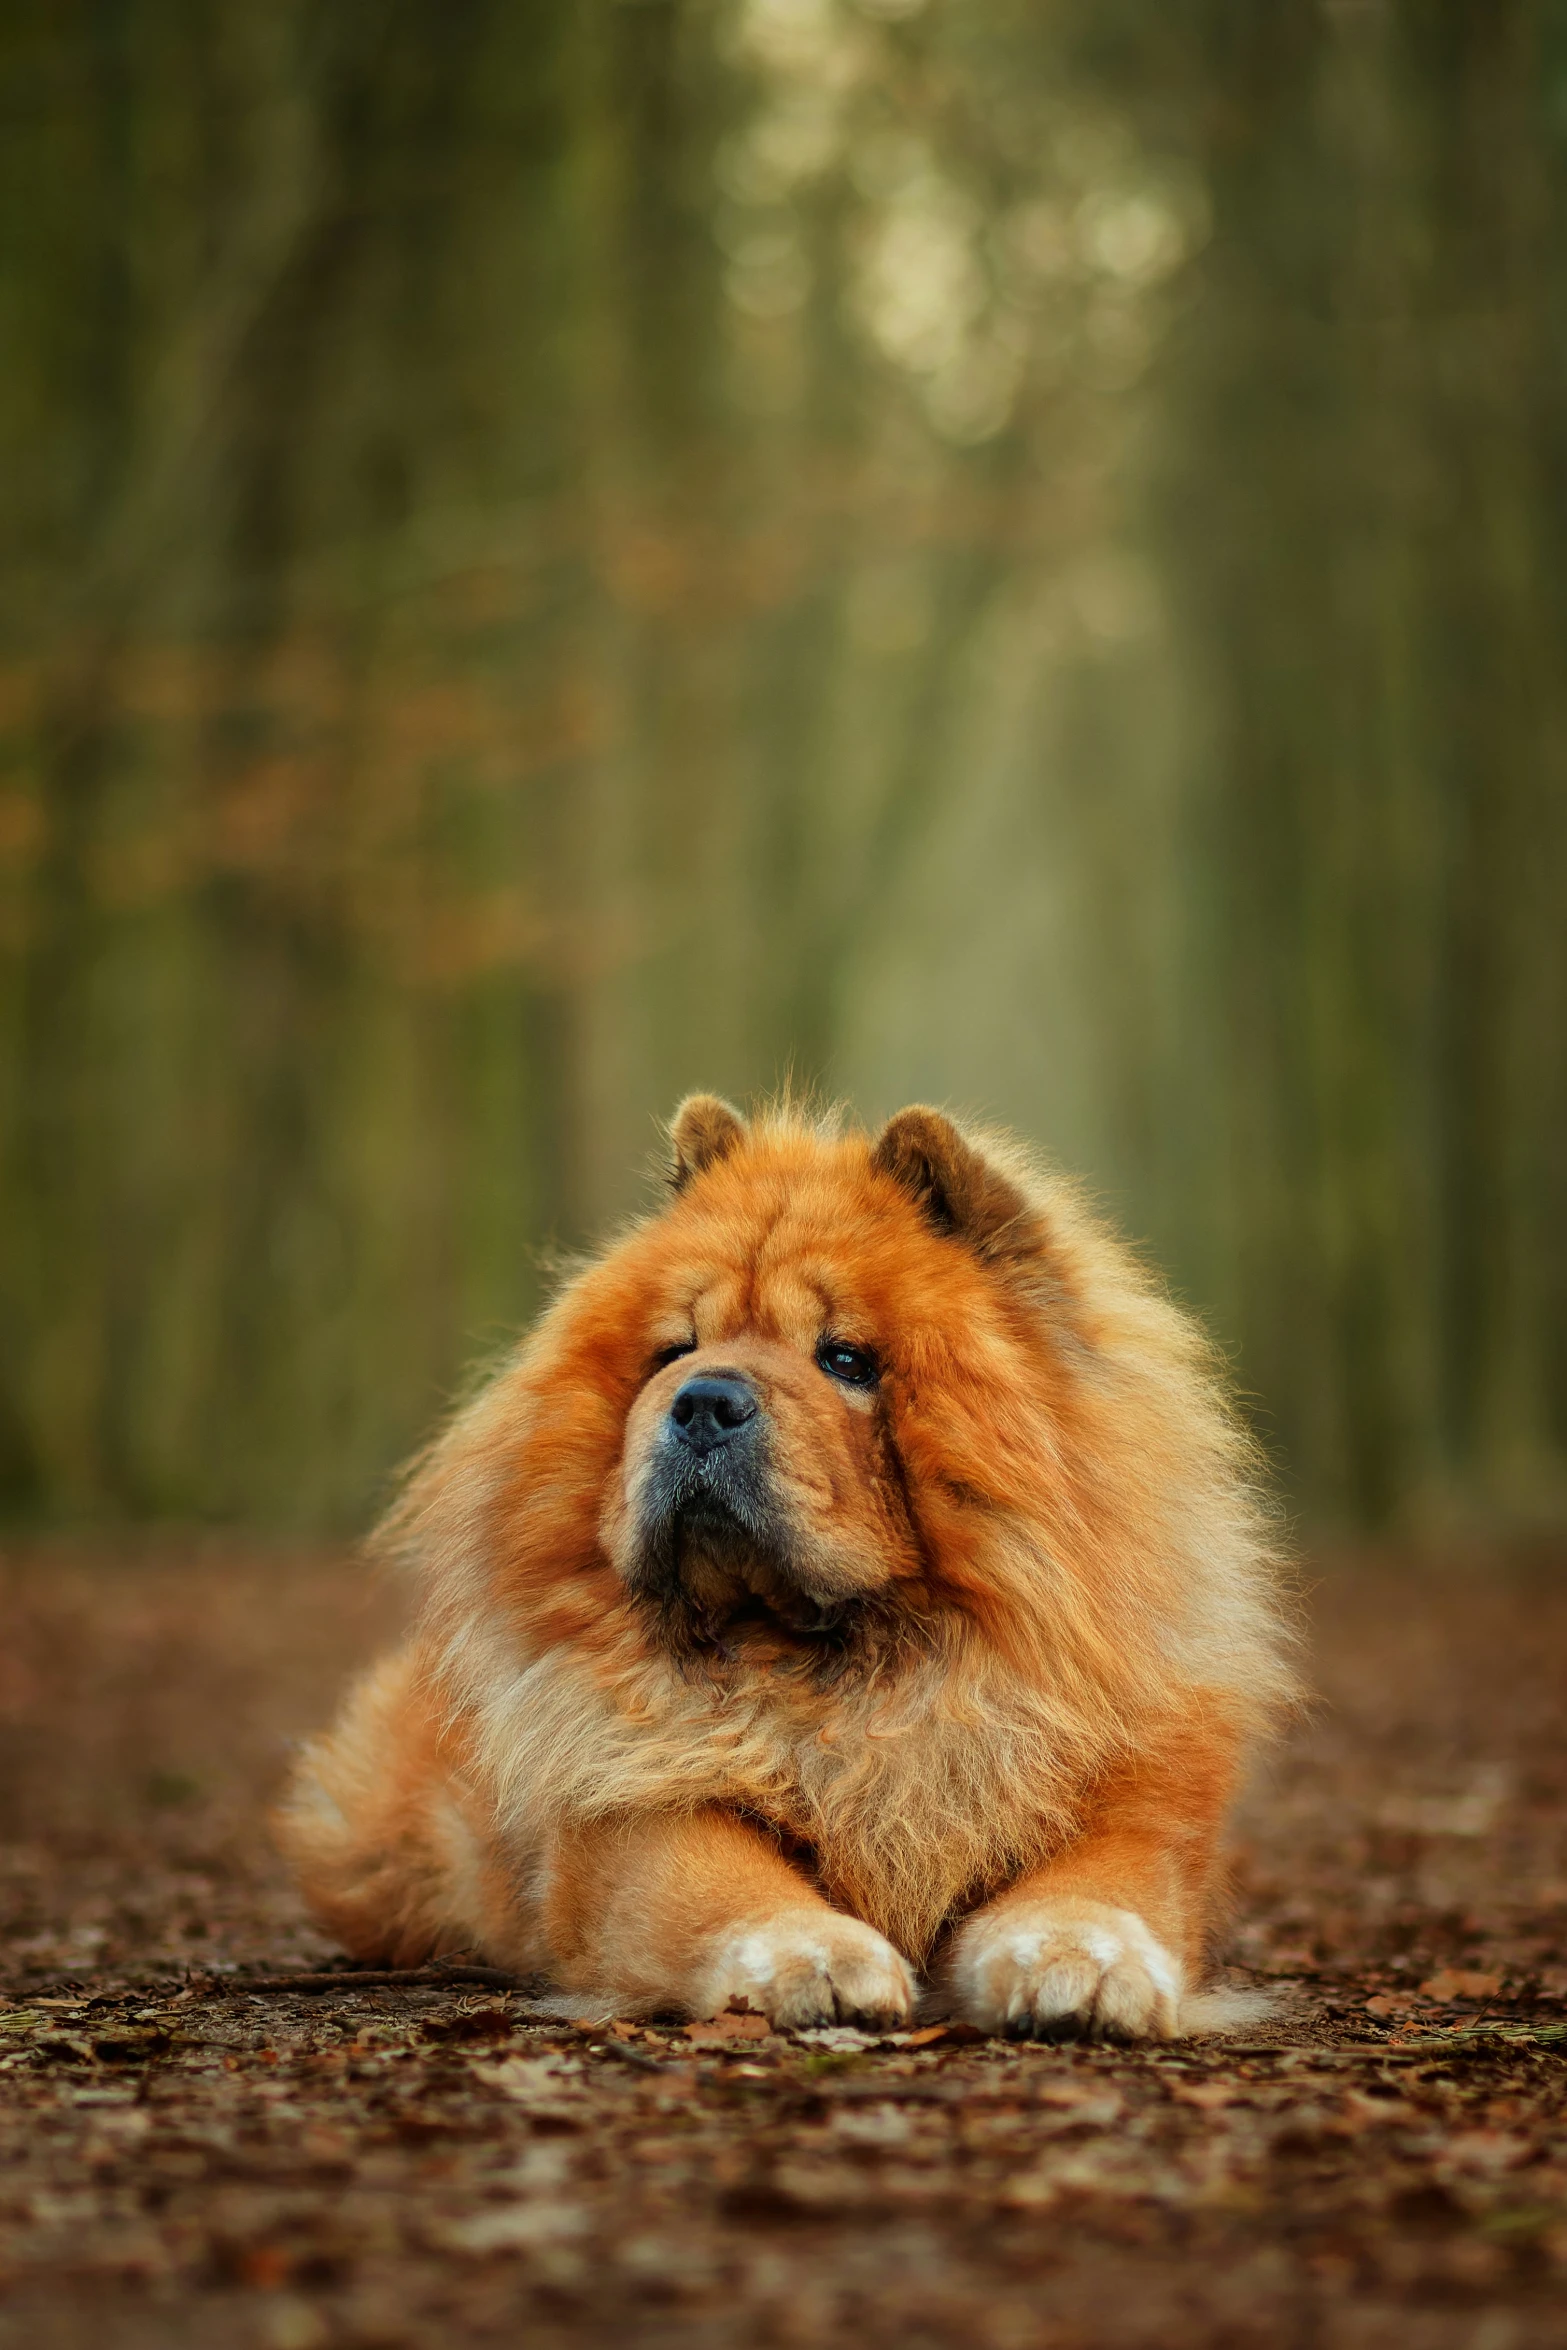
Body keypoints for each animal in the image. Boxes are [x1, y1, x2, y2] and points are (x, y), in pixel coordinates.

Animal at [276, 1099, 1296, 2039]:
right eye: (674, 1351)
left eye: (845, 1359)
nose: (701, 1400)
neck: (844, 1680)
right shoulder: (631, 1813)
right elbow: (725, 1885)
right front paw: (819, 1958)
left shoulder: (1126, 1808)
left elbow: (1095, 1891)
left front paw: (1082, 1966)